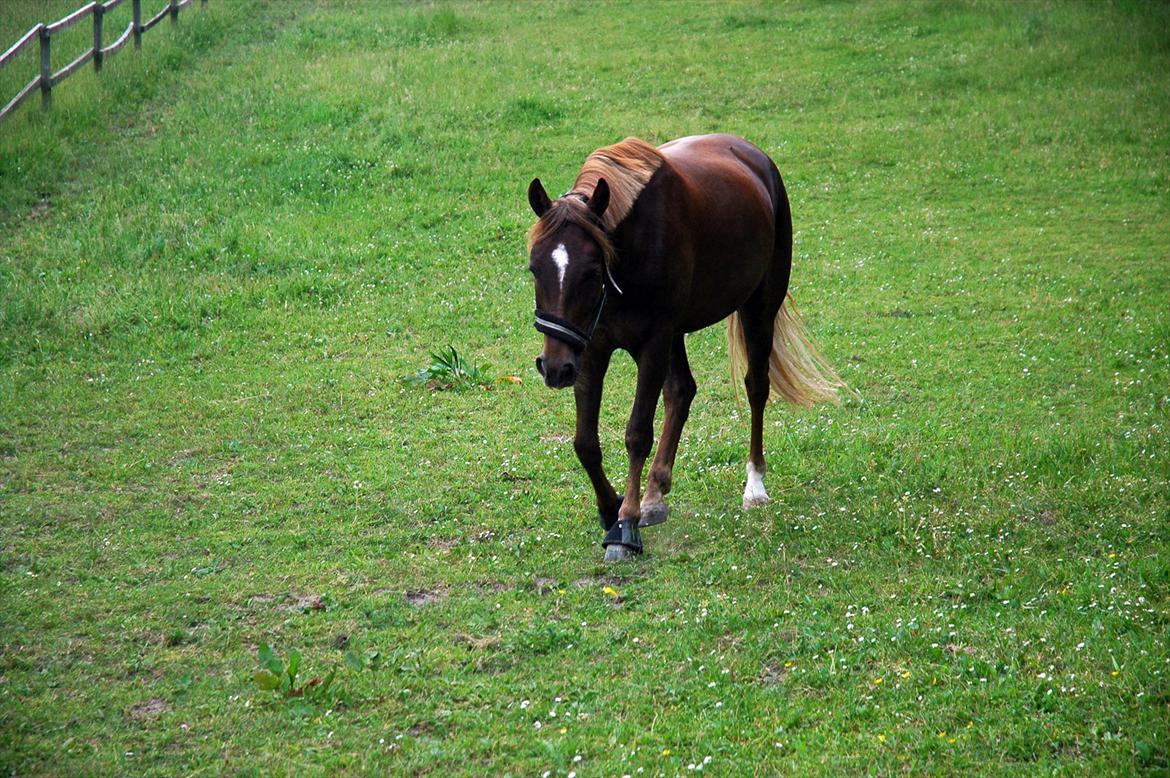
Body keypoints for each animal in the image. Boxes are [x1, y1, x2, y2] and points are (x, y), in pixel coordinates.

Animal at [525, 134, 848, 561]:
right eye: (534, 268)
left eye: (592, 272)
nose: (554, 368)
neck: (632, 247)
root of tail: (752, 154)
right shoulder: (592, 348)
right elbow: (585, 443)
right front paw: (610, 508)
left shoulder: (652, 343)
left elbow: (637, 434)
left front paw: (625, 526)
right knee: (681, 392)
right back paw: (656, 493)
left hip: (758, 308)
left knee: (756, 387)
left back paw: (754, 485)